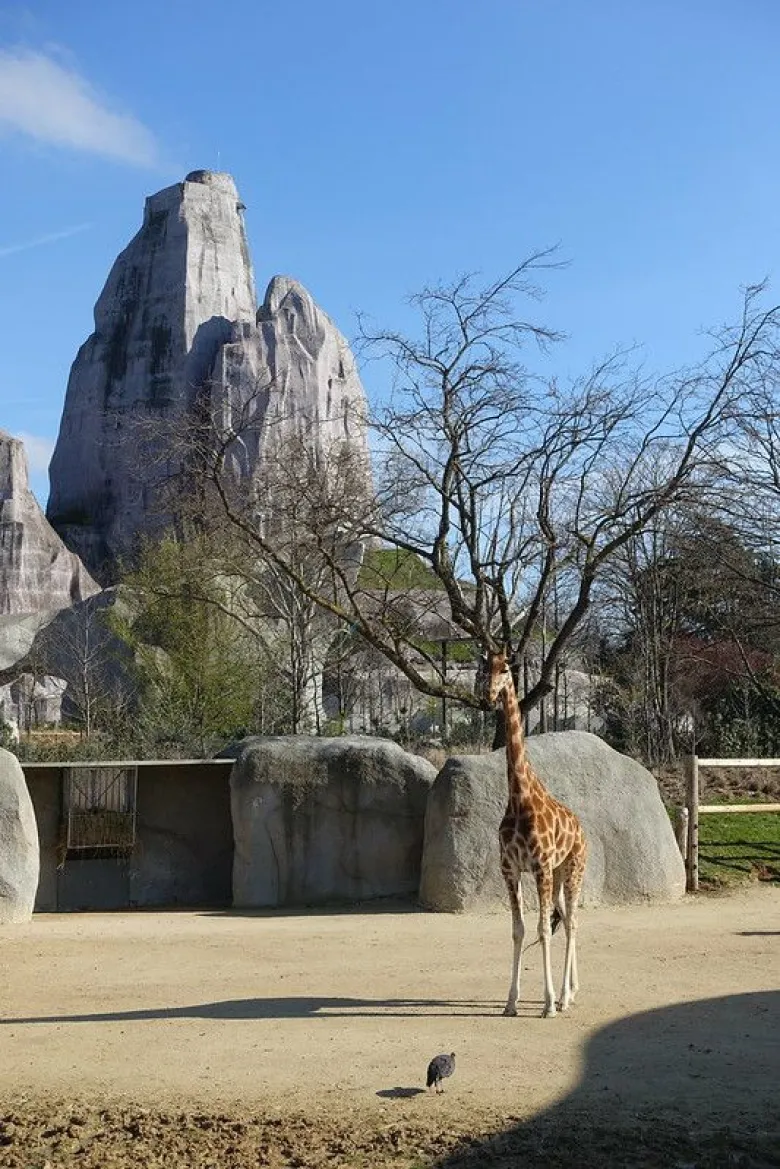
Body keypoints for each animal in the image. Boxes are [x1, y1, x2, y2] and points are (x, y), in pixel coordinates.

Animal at [484, 654, 589, 1019]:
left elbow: (543, 930)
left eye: (505, 670)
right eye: (484, 667)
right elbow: (519, 930)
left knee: (573, 922)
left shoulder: (540, 867)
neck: (520, 798)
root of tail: (582, 830)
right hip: (557, 876)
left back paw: (565, 997)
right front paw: (510, 1002)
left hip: (572, 871)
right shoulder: (511, 869)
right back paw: (570, 991)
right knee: (567, 919)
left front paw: (547, 1004)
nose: (489, 696)